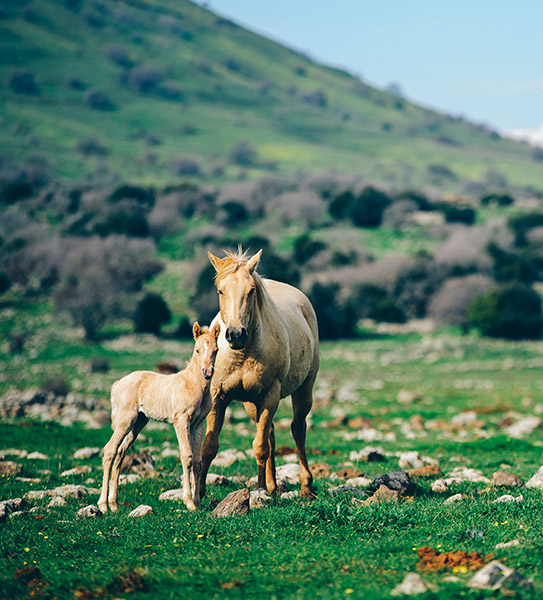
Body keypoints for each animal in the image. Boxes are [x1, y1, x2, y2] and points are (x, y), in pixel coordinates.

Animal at [98, 324, 219, 510]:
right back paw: (103, 505)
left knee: (120, 452)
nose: (207, 372)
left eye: (216, 350)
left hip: (138, 423)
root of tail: (117, 384)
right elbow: (187, 456)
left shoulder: (198, 425)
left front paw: (197, 502)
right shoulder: (181, 421)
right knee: (110, 450)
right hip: (125, 421)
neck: (194, 384)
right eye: (197, 350)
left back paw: (114, 504)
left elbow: (198, 462)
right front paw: (189, 502)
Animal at [200, 246, 318, 500]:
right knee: (270, 432)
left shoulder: (270, 393)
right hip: (252, 404)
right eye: (221, 290)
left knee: (298, 429)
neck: (242, 354)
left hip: (303, 390)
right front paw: (199, 493)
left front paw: (260, 489)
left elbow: (260, 447)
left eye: (251, 290)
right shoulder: (218, 396)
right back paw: (274, 486)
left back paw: (305, 486)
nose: (236, 334)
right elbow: (209, 446)